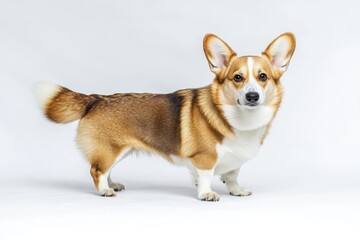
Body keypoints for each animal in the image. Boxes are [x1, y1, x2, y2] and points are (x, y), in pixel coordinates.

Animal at [36, 32, 296, 201]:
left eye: (263, 77)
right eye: (237, 78)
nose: (252, 96)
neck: (238, 118)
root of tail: (96, 99)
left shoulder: (235, 161)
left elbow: (232, 175)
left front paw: (236, 190)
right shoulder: (205, 159)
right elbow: (206, 176)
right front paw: (206, 193)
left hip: (119, 149)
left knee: (105, 170)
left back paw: (113, 185)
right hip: (110, 149)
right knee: (97, 171)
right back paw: (104, 191)